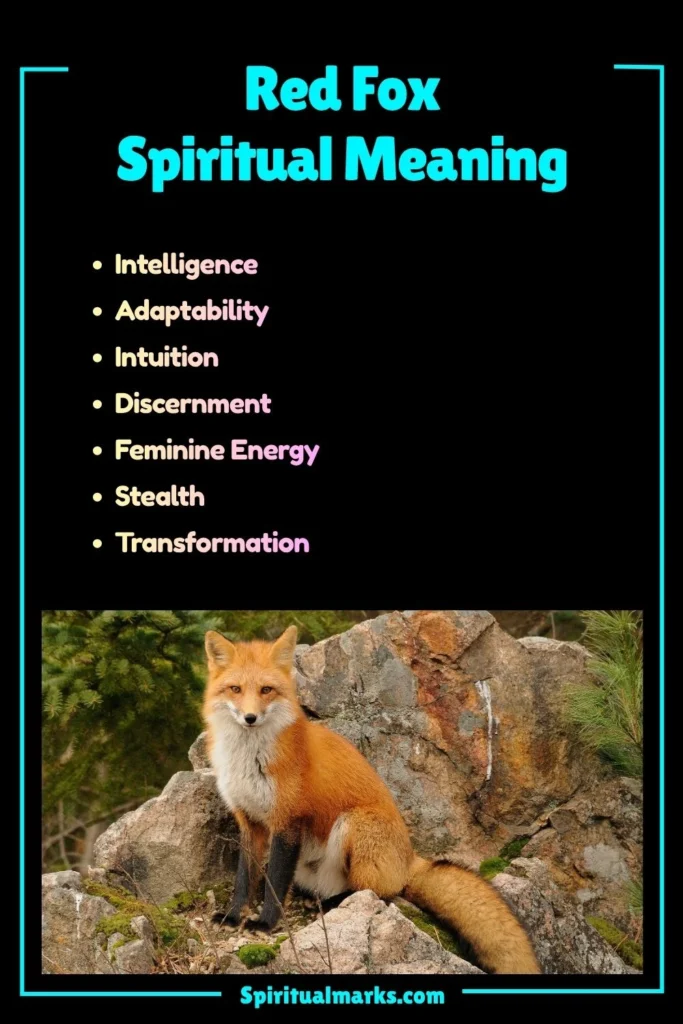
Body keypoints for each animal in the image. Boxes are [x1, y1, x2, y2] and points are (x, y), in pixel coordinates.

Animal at [203, 626, 541, 974]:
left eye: (266, 689)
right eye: (235, 689)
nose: (250, 717)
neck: (249, 759)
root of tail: (409, 858)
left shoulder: (288, 820)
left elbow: (275, 883)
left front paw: (266, 923)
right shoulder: (249, 820)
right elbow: (244, 878)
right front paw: (233, 916)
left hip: (355, 824)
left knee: (377, 892)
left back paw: (336, 903)